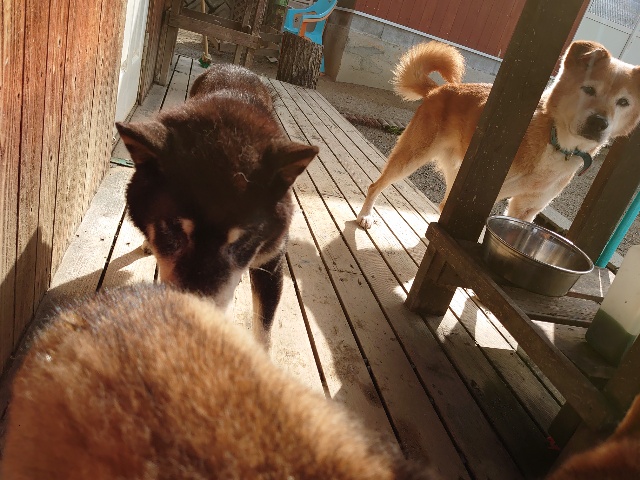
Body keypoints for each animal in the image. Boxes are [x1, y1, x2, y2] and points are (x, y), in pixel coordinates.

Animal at [357, 41, 640, 229]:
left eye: (624, 102)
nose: (599, 123)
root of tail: (439, 89)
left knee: (440, 204)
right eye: (589, 89)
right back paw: (365, 216)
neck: (555, 143)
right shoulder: (478, 192)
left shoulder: (527, 208)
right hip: (413, 157)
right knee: (375, 185)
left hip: (456, 170)